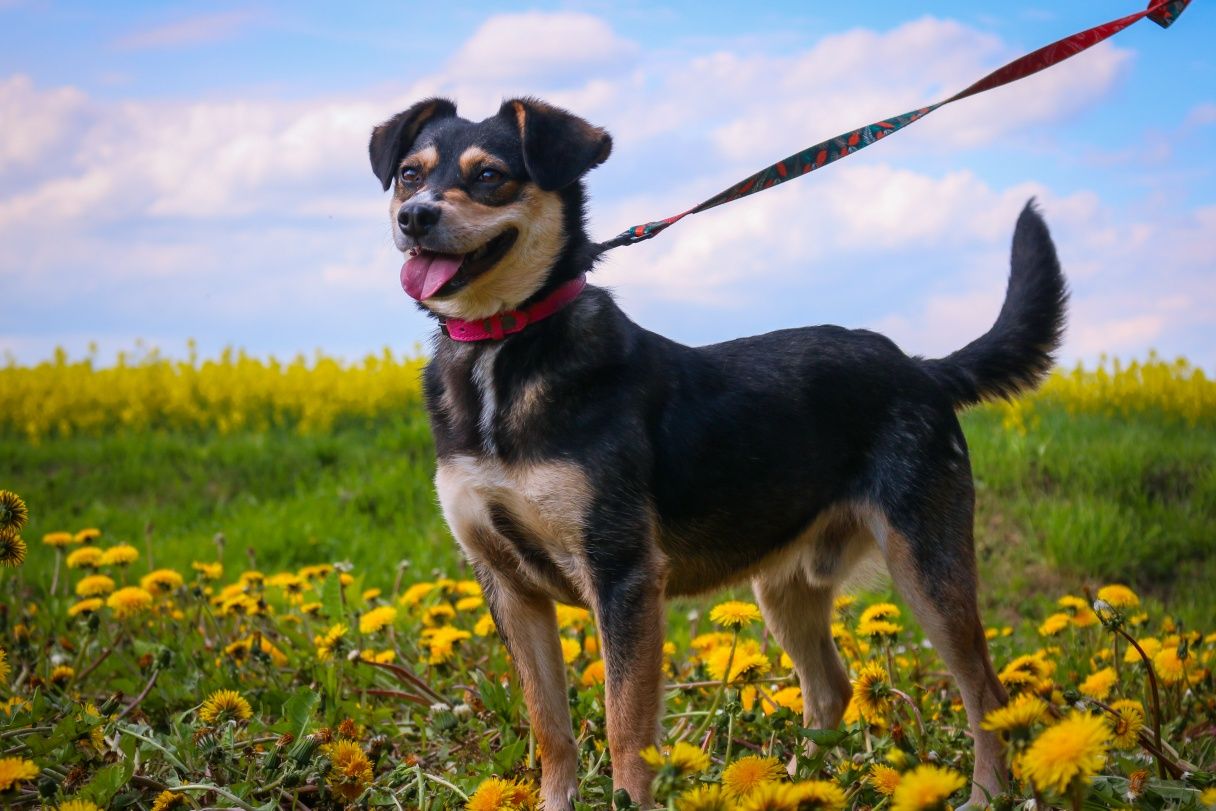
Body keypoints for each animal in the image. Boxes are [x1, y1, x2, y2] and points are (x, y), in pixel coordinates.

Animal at [367, 95, 1065, 807]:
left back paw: (984, 793)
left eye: (489, 177)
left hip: (926, 566)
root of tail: (922, 370)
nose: (414, 216)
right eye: (409, 174)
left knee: (986, 695)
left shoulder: (622, 575)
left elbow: (624, 729)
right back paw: (793, 785)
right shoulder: (508, 587)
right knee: (830, 689)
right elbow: (550, 729)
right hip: (784, 586)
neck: (499, 348)